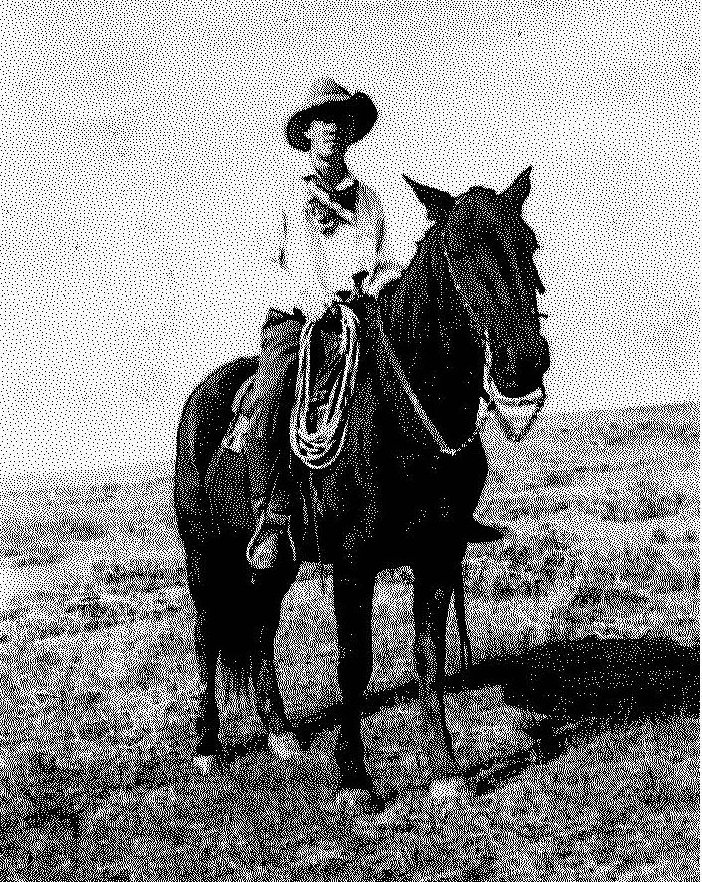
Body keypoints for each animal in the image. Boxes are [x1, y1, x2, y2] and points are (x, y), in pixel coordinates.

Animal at [173, 165, 552, 804]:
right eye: (458, 254)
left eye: (528, 244)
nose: (523, 363)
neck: (404, 416)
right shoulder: (353, 560)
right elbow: (355, 659)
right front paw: (354, 776)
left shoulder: (436, 552)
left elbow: (429, 653)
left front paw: (445, 768)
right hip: (206, 552)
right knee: (209, 632)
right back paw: (207, 744)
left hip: (275, 558)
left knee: (259, 629)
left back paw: (281, 733)